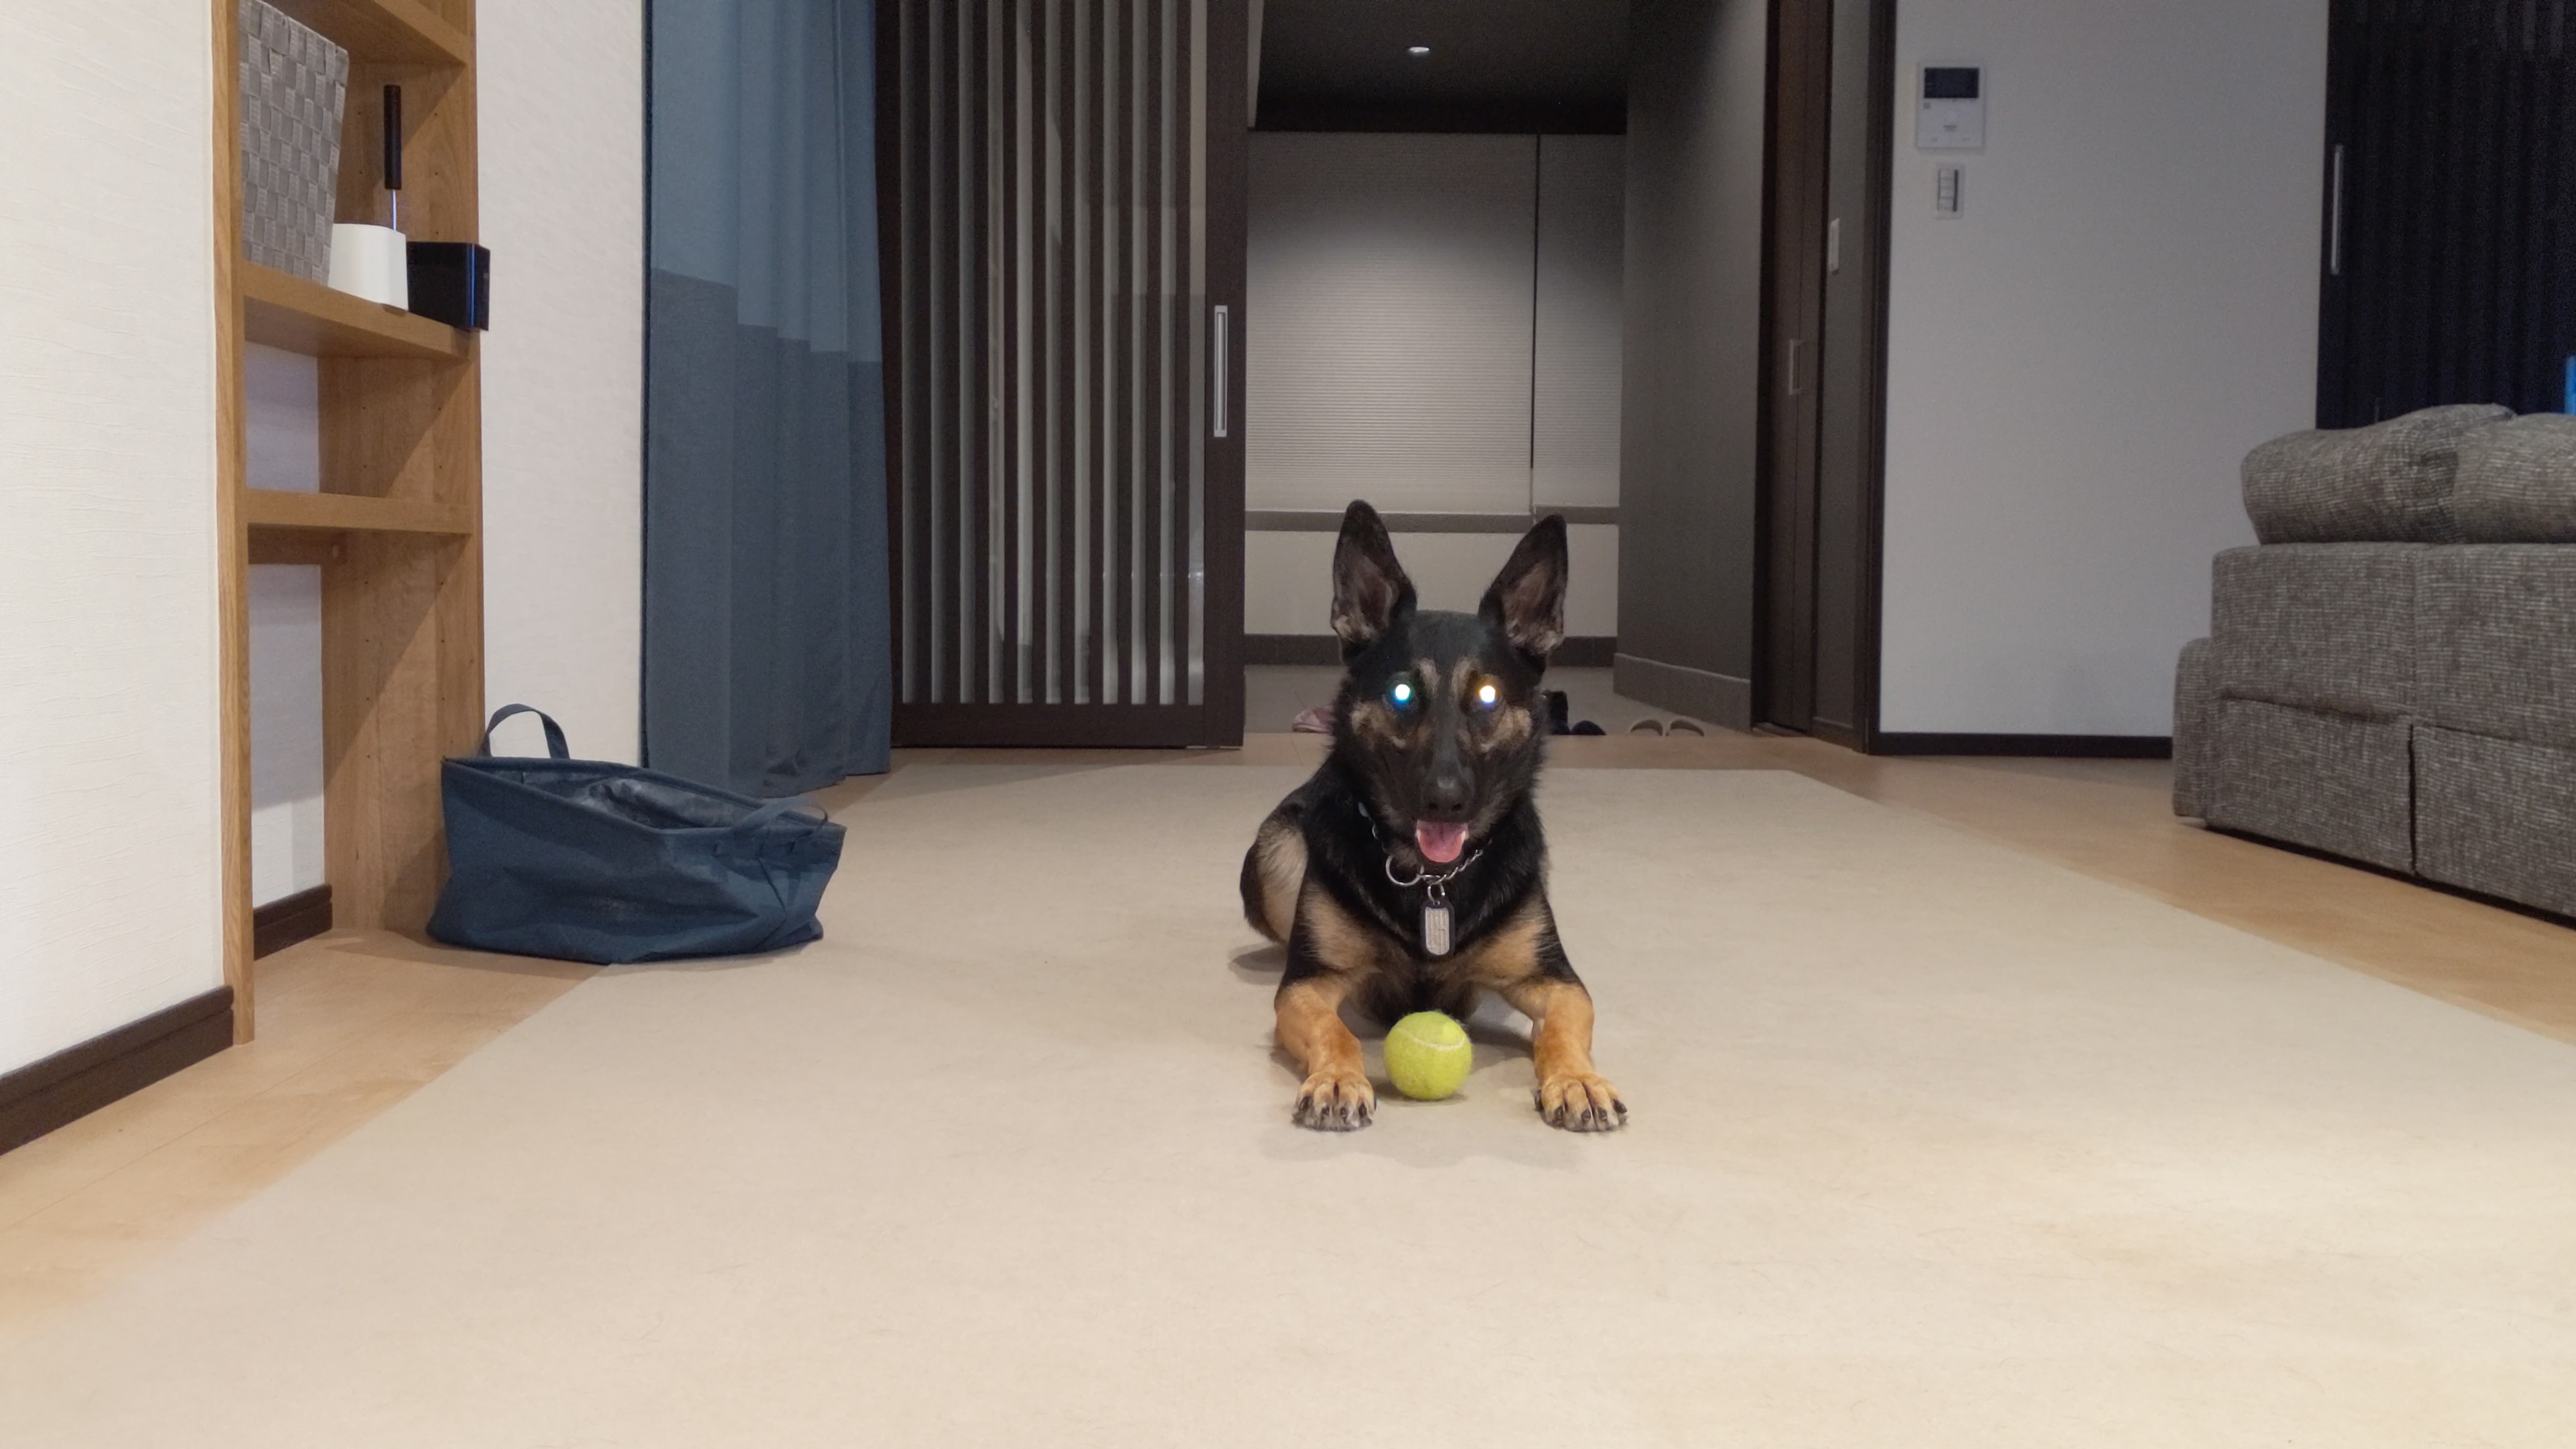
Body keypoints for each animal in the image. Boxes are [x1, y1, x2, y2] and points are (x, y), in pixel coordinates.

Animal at [1239, 500, 1625, 1133]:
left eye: (1488, 696)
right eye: (1402, 694)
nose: (1445, 800)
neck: (1432, 879)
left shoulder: (1555, 982)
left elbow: (1565, 1031)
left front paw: (1578, 1080)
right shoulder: (1307, 987)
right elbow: (1335, 1030)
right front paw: (1339, 1077)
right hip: (1276, 853)